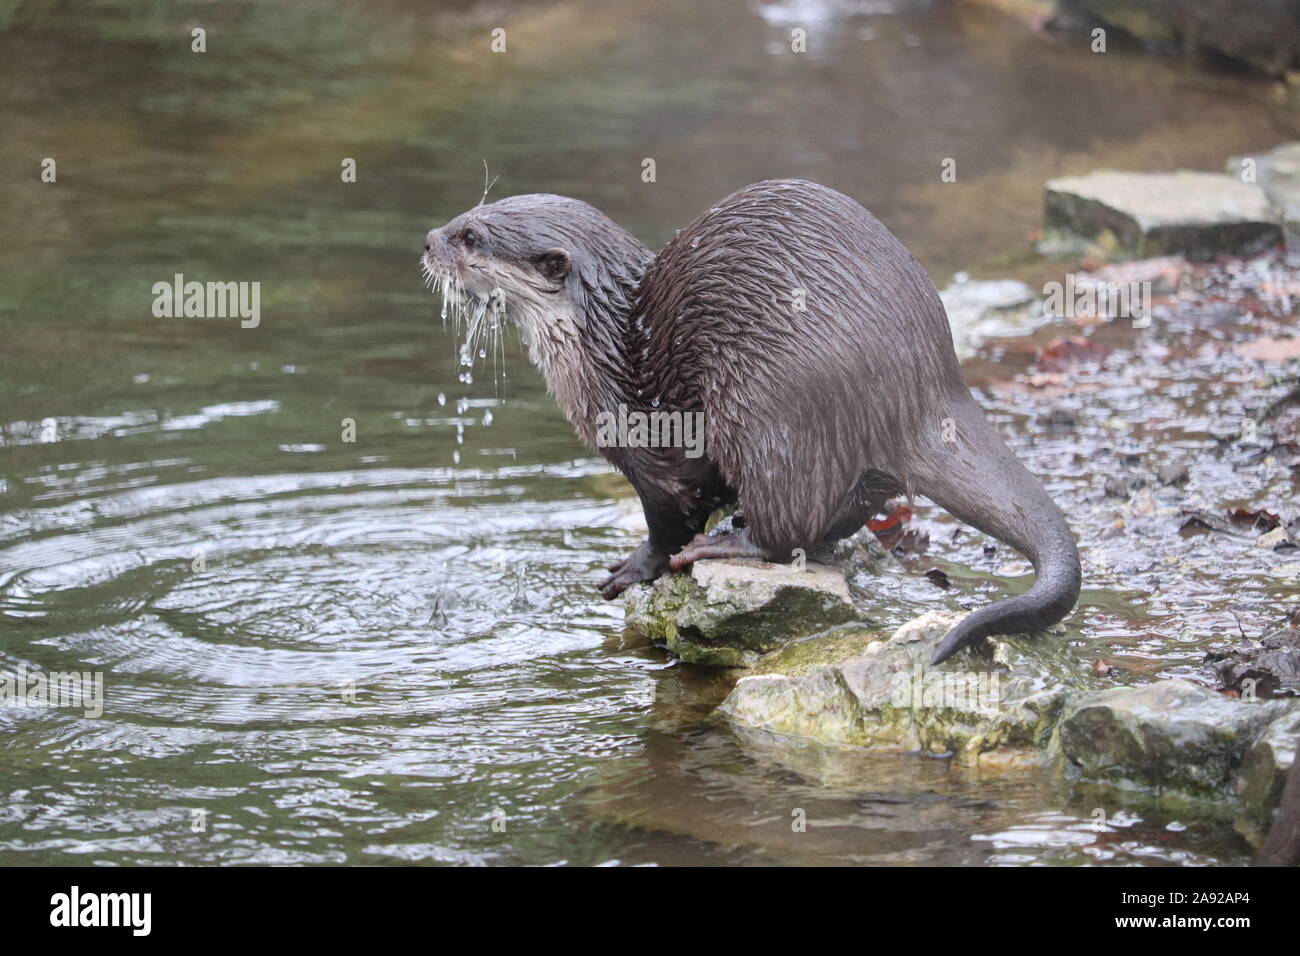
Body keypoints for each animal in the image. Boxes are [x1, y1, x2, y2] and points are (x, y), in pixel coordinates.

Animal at [422, 179, 1081, 664]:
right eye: (466, 213)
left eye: (471, 236)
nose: (428, 241)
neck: (604, 348)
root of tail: (927, 386)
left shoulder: (653, 448)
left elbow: (670, 520)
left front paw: (634, 567)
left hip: (763, 404)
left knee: (785, 522)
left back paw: (728, 543)